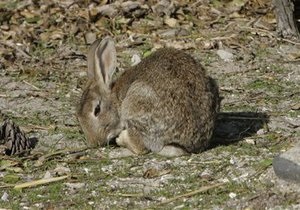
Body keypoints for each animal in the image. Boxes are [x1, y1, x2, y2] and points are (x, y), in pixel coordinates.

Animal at [76, 37, 219, 157]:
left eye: (97, 110)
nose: (94, 142)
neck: (115, 98)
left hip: (136, 104)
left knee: (140, 147)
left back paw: (121, 140)